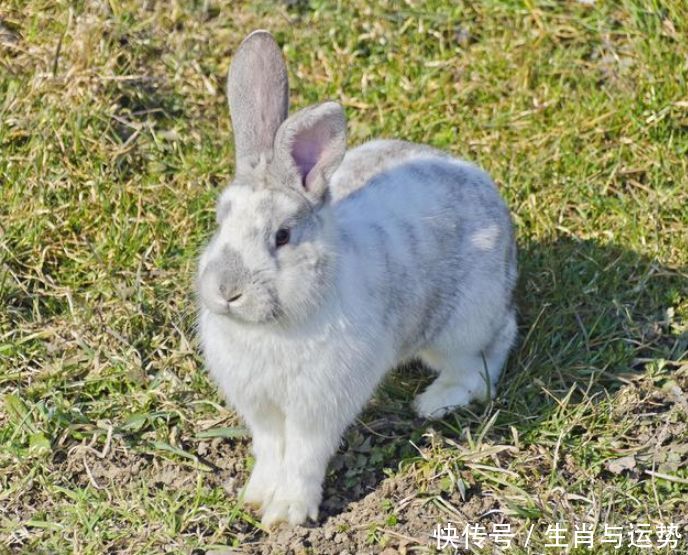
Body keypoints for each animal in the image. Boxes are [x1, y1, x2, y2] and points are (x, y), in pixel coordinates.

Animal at [195, 31, 516, 528]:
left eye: (282, 235)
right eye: (220, 220)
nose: (227, 291)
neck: (273, 326)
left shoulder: (318, 408)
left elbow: (303, 456)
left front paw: (287, 514)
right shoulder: (262, 408)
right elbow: (271, 450)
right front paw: (256, 497)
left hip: (458, 327)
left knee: (488, 353)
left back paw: (434, 402)